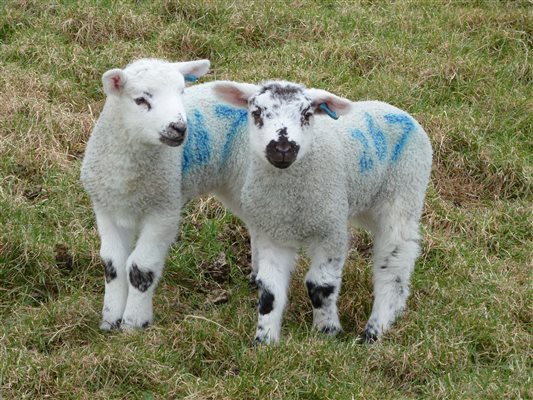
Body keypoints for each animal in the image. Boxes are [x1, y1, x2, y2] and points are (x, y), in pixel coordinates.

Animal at [80, 57, 209, 330]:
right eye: (141, 100)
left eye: (182, 92)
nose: (179, 128)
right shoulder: (106, 210)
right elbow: (113, 264)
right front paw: (110, 320)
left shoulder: (164, 210)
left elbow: (141, 267)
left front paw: (134, 323)